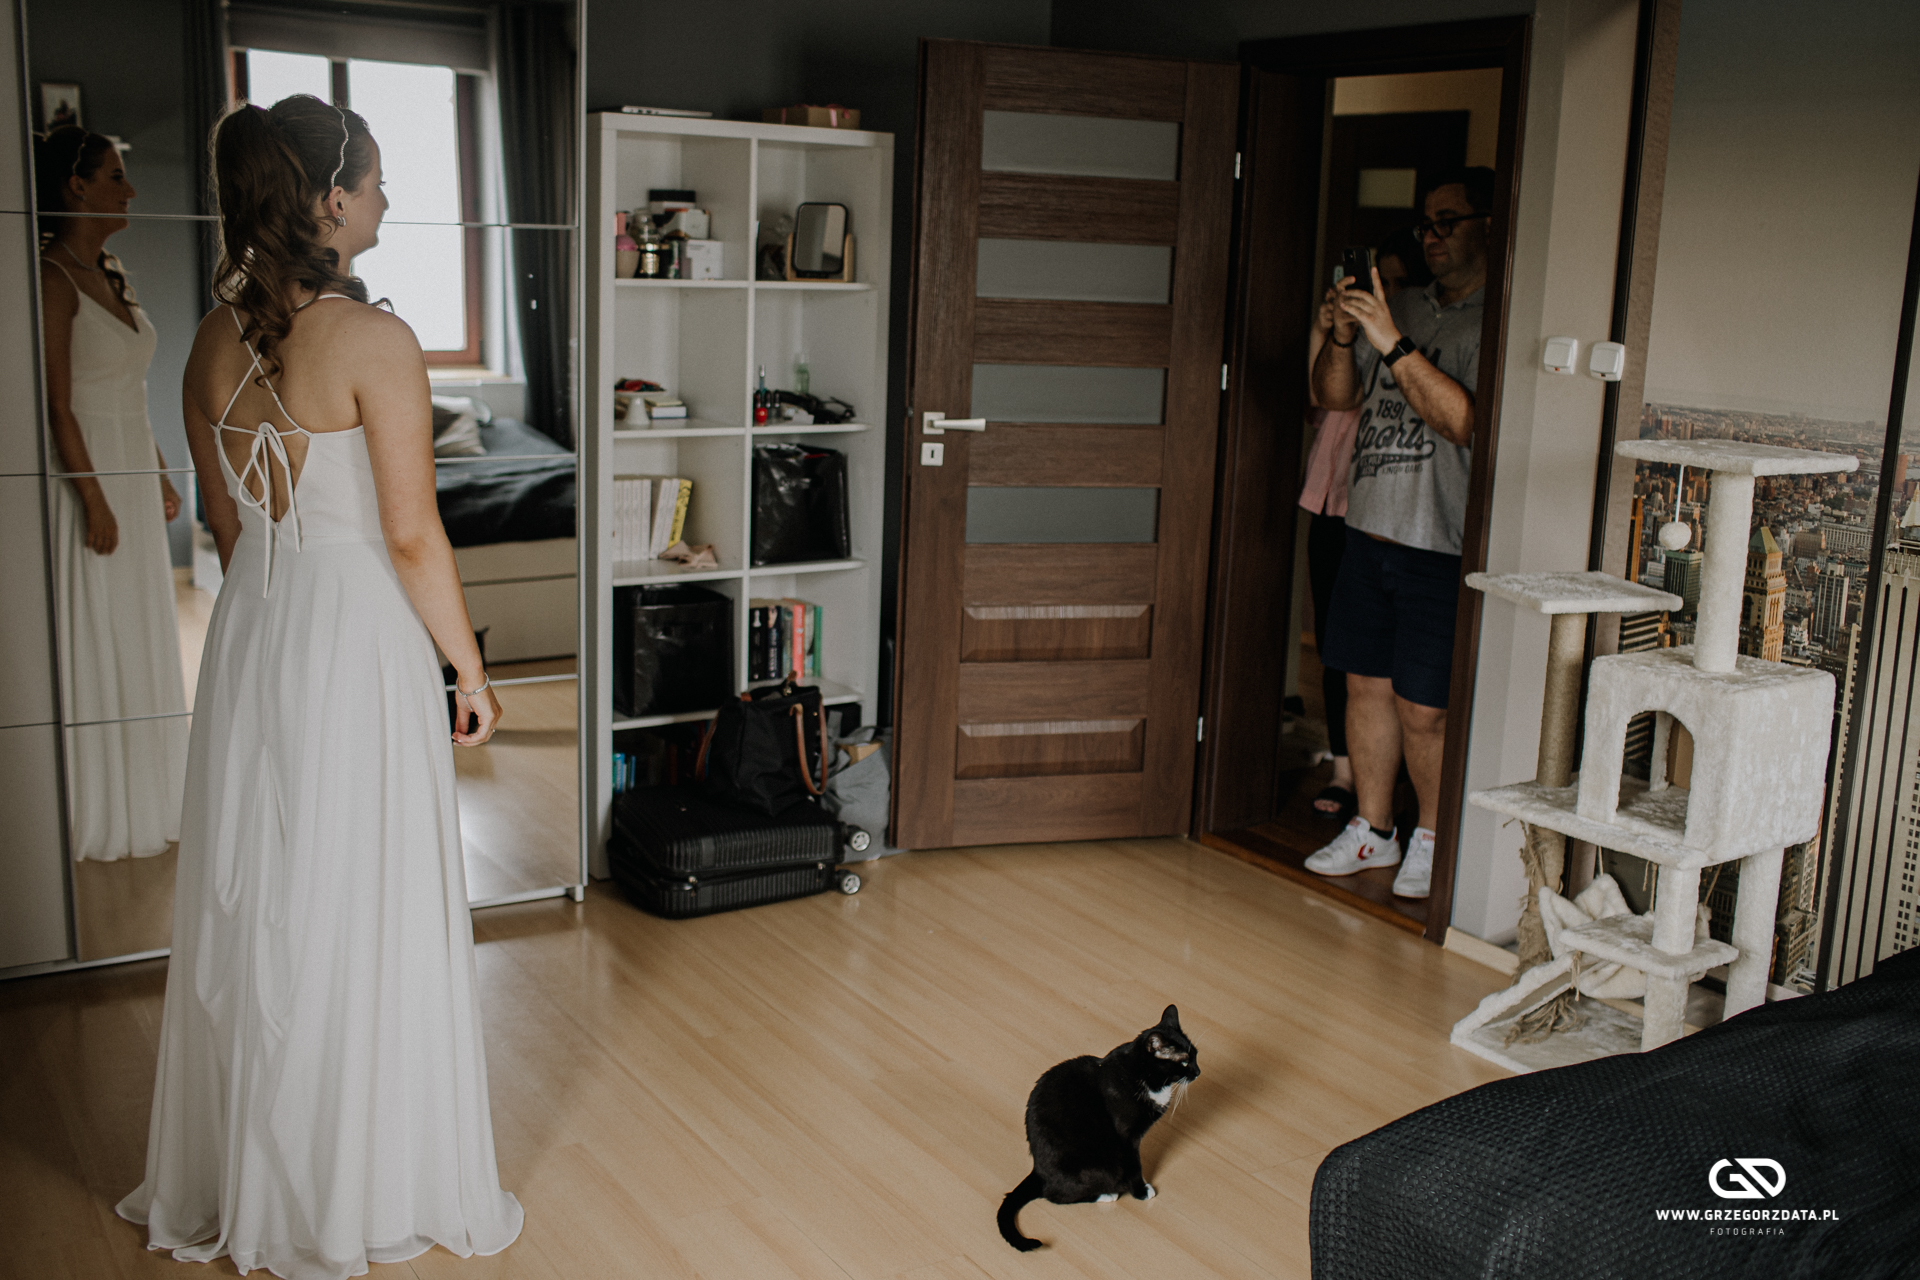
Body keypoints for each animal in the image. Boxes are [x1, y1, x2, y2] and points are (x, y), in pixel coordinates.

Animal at [997, 1004, 1200, 1252]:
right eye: (1184, 1062)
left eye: (1196, 1055)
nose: (1198, 1071)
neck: (1142, 1075)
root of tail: (1038, 1170)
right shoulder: (1127, 1138)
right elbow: (1134, 1166)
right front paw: (1141, 1191)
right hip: (1103, 1166)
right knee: (1054, 1195)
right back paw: (1106, 1195)